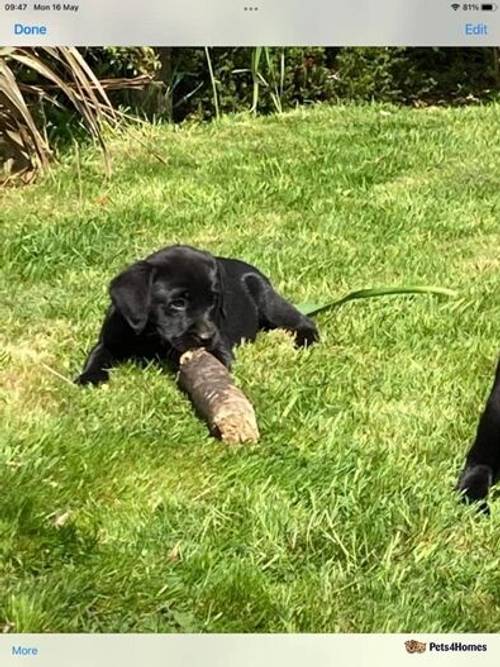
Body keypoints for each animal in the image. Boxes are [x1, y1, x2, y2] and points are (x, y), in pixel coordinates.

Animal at [76, 244, 318, 386]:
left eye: (213, 301)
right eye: (178, 303)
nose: (206, 337)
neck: (150, 337)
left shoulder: (220, 347)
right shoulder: (110, 339)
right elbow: (98, 354)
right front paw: (89, 377)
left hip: (266, 297)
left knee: (302, 320)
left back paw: (304, 341)